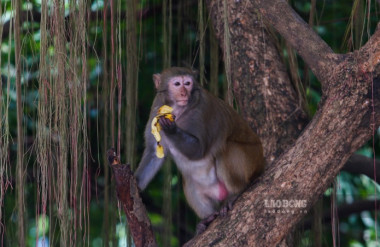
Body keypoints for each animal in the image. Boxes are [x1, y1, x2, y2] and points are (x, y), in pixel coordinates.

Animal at [135, 67, 266, 230]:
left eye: (188, 83)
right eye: (177, 84)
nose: (184, 93)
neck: (178, 109)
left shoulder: (202, 109)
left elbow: (199, 150)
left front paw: (171, 129)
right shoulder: (156, 108)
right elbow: (154, 153)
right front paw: (135, 185)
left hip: (252, 160)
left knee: (226, 150)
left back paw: (237, 192)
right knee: (188, 180)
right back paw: (208, 218)